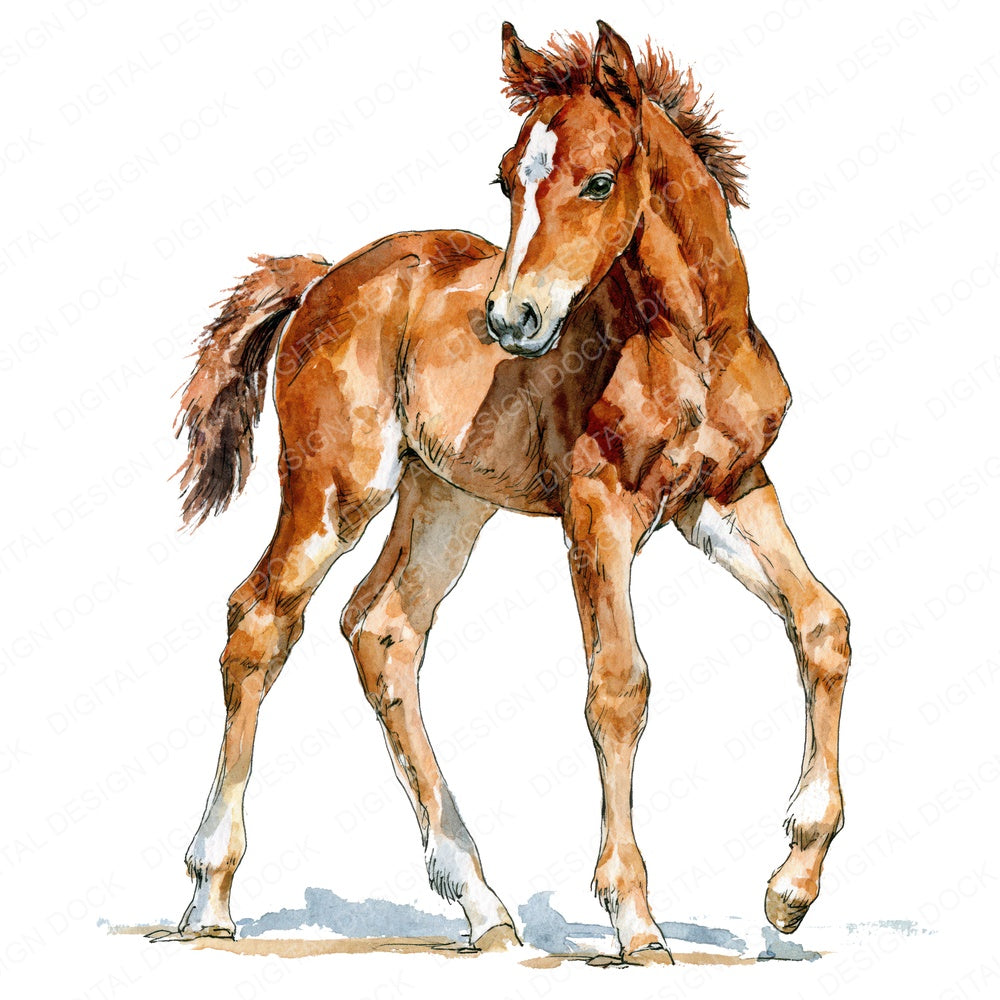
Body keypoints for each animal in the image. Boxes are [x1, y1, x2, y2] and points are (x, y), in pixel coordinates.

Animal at [152, 22, 851, 961]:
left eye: (599, 181)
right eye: (507, 176)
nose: (511, 321)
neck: (693, 343)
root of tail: (325, 277)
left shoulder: (727, 494)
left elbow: (822, 623)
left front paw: (790, 890)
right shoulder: (600, 508)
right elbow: (618, 685)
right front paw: (636, 921)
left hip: (447, 499)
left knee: (382, 628)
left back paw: (482, 905)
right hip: (337, 490)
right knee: (261, 620)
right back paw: (210, 896)